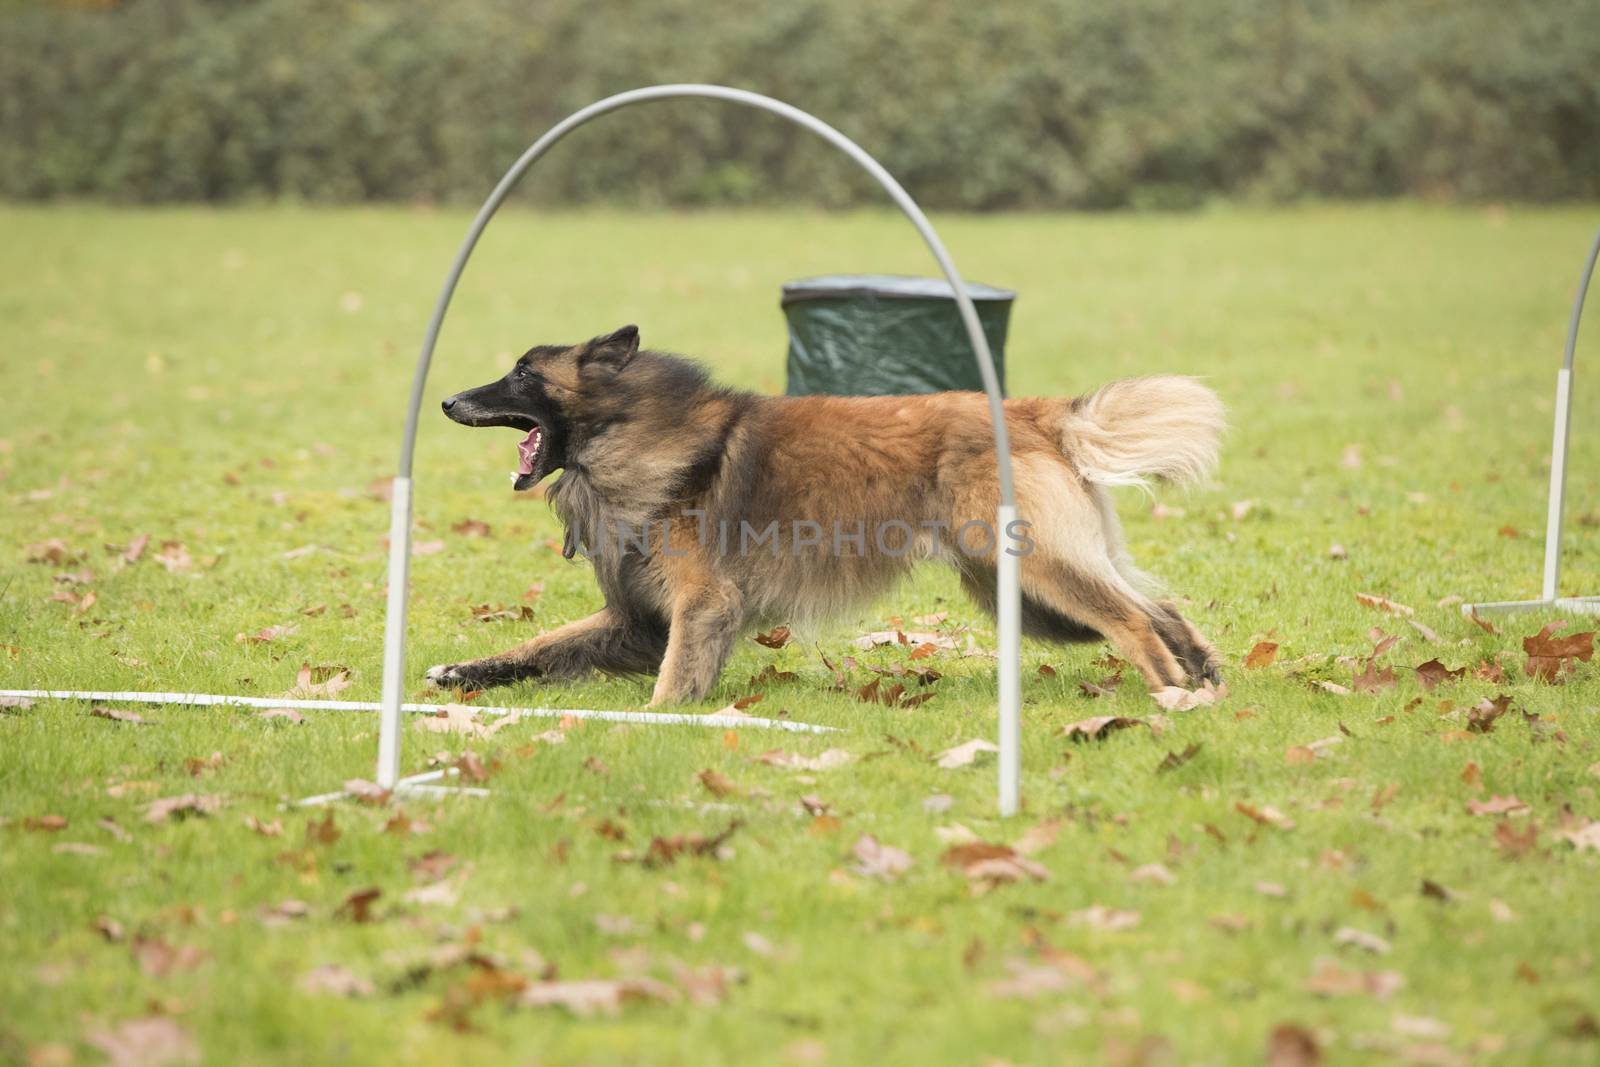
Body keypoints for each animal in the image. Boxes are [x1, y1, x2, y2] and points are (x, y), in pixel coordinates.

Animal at [428, 329, 1222, 703]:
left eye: (523, 373)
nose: (445, 401)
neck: (637, 429)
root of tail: (1033, 410)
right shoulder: (640, 617)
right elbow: (543, 646)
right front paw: (459, 671)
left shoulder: (702, 605)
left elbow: (672, 679)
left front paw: (658, 720)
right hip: (1023, 593)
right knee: (1159, 607)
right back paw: (1204, 674)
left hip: (1037, 575)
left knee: (1133, 619)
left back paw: (1168, 698)